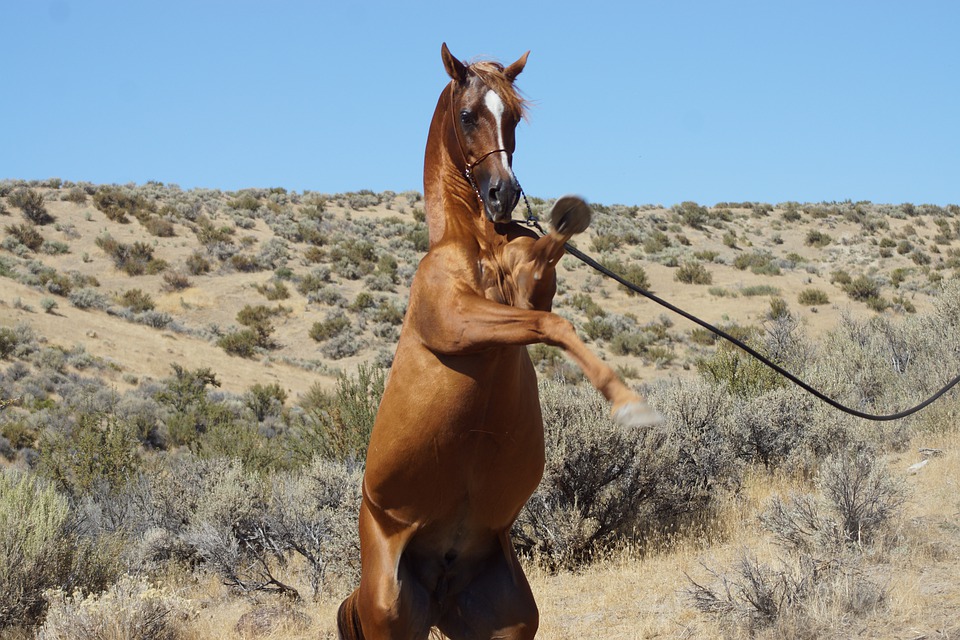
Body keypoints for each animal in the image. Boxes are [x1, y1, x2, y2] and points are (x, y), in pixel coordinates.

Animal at [338, 45, 660, 640]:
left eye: (512, 117)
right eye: (468, 115)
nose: (503, 193)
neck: (475, 242)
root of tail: (439, 585)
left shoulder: (526, 295)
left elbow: (550, 252)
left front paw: (569, 213)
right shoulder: (460, 323)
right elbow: (556, 328)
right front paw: (630, 406)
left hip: (508, 622)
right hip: (391, 616)